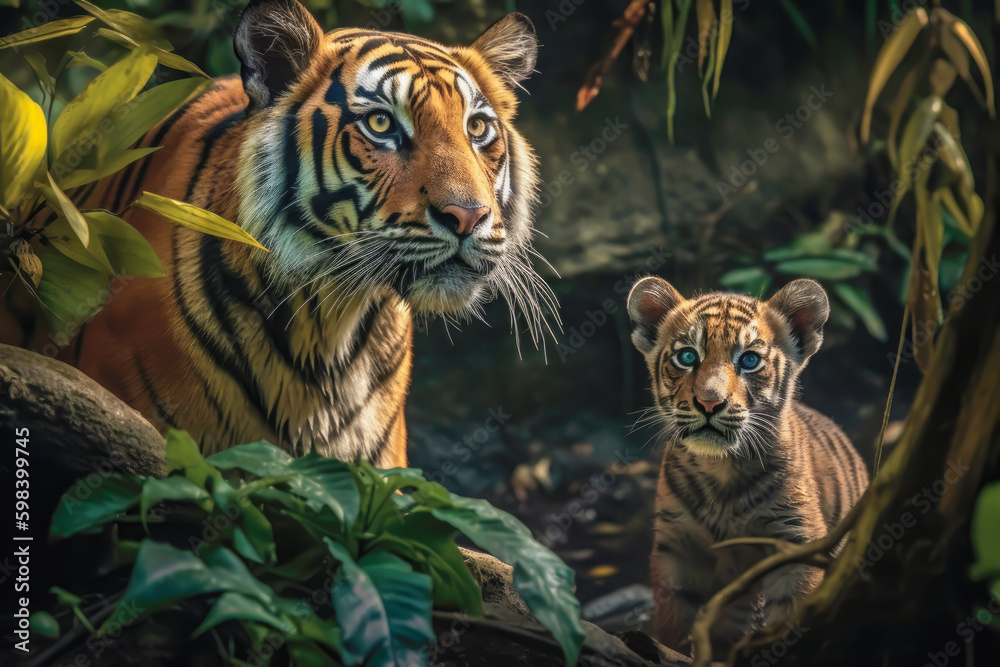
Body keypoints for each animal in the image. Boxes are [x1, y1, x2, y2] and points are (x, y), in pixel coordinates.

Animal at [626, 276, 869, 659]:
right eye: (687, 356)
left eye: (750, 360)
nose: (709, 402)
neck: (721, 469)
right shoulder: (677, 549)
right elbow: (674, 624)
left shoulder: (796, 549)